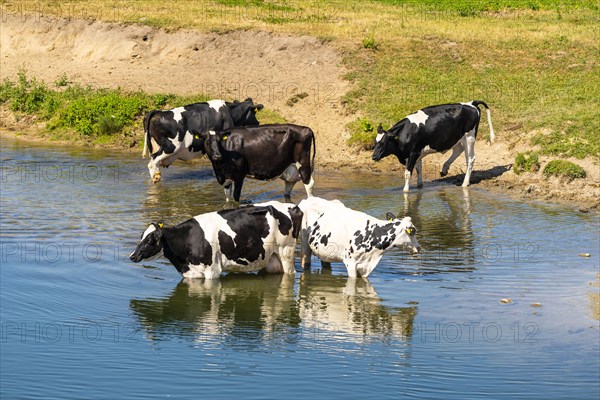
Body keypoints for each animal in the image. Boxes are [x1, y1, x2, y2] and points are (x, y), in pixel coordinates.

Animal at [129, 203, 302, 278]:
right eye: (141, 236)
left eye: (150, 239)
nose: (132, 256)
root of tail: (292, 206)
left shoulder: (212, 271)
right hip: (268, 258)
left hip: (286, 252)